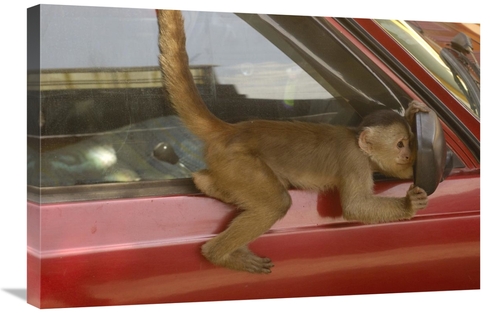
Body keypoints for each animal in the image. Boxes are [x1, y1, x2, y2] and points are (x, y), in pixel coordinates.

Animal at [157, 10, 430, 272]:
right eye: (399, 144)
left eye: (409, 142)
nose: (407, 153)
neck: (357, 141)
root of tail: (233, 130)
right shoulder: (355, 161)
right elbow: (356, 207)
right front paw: (409, 204)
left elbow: (400, 172)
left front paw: (412, 116)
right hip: (238, 161)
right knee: (276, 204)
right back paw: (218, 254)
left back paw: (205, 184)